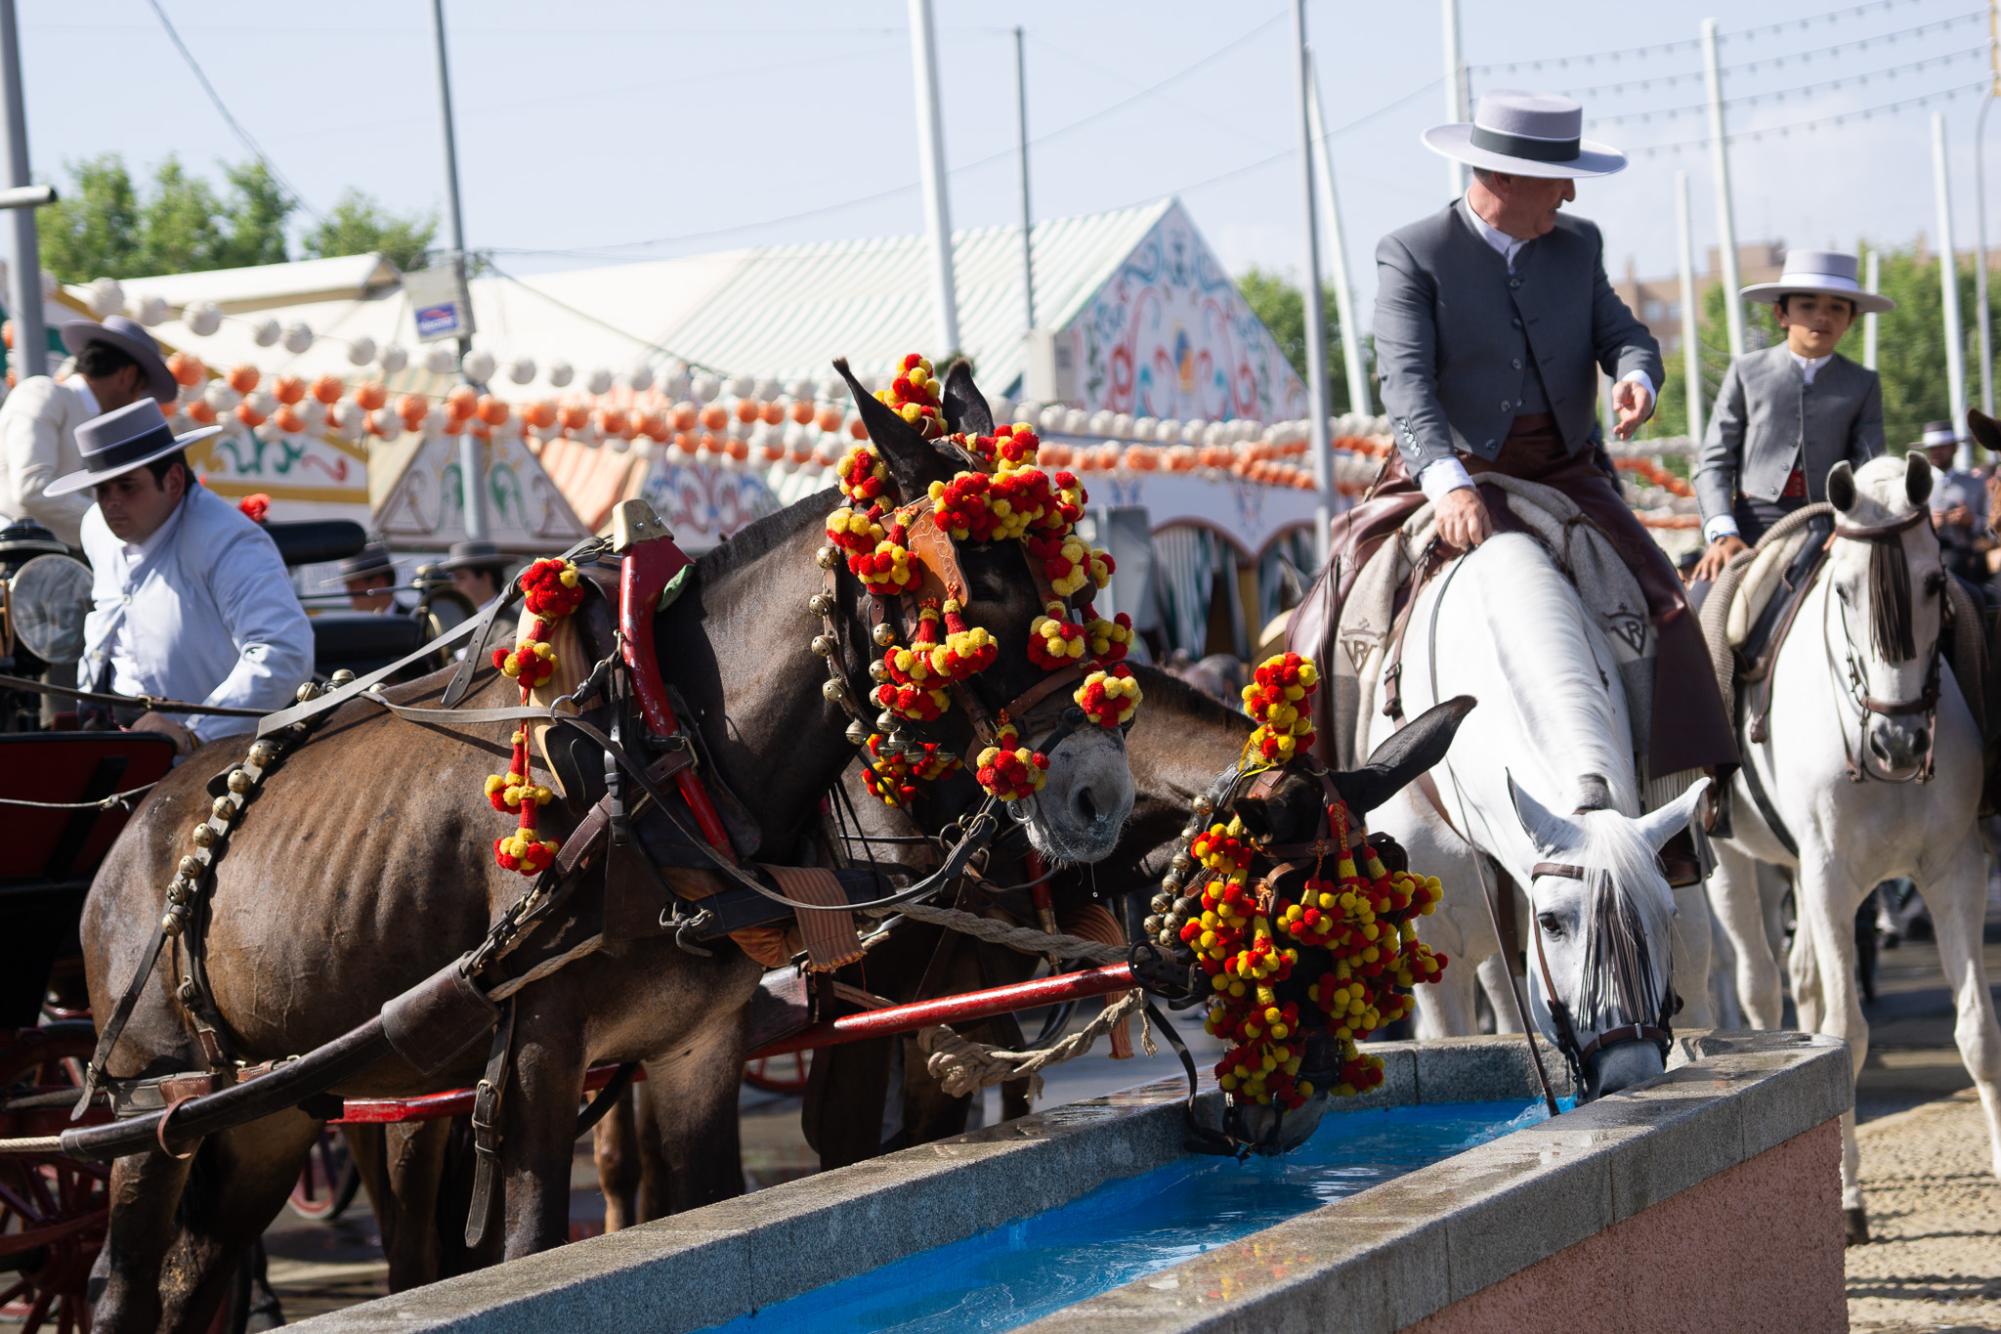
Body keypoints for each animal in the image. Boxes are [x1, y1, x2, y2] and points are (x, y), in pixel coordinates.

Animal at [1704, 456, 2000, 1240]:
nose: (1899, 742)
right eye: (1842, 589)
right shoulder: (1832, 881)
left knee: (1804, 985)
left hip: (1795, 877)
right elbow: (1846, 1038)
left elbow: (1977, 1032)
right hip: (1737, 872)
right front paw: (1844, 1200)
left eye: (1933, 580)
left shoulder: (1955, 874)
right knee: (1762, 988)